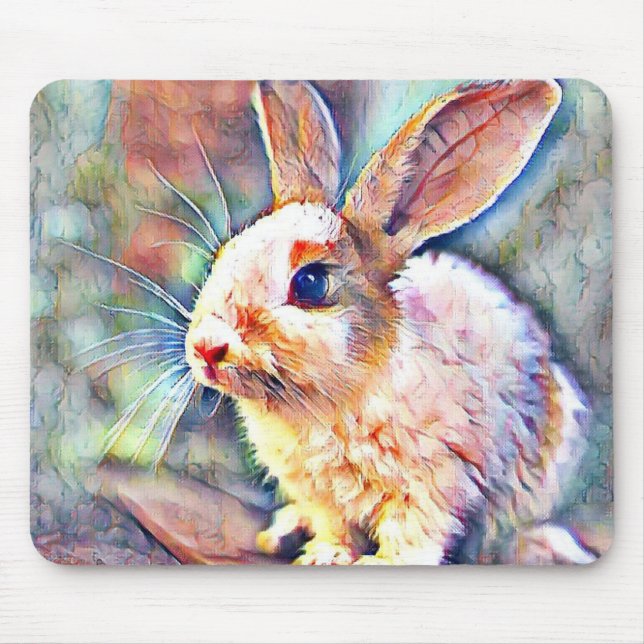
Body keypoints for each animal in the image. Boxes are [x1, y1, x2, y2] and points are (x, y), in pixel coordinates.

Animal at [184, 80, 593, 565]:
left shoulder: (434, 483)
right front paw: (325, 555)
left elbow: (414, 534)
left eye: (310, 283)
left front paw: (374, 563)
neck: (328, 400)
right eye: (224, 255)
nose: (206, 347)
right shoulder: (318, 493)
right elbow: (333, 525)